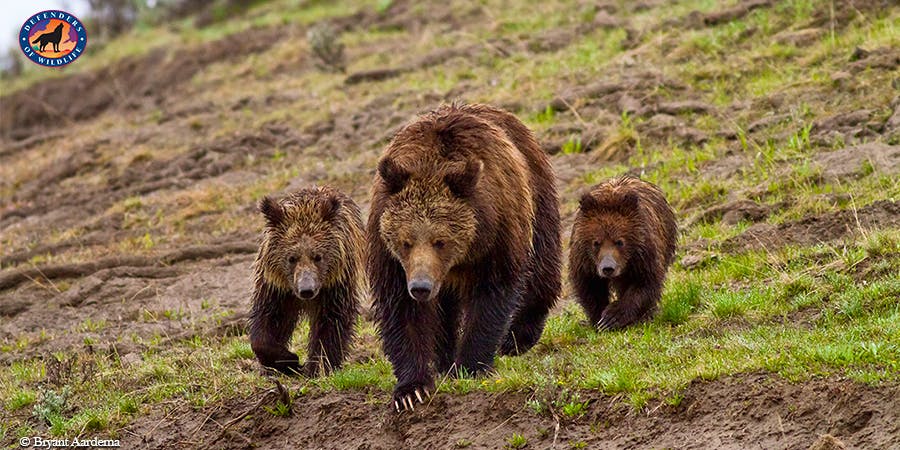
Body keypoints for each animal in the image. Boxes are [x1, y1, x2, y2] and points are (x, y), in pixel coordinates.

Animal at [248, 186, 364, 377]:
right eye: (291, 258)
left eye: (318, 257)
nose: (306, 289)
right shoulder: (276, 288)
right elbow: (267, 322)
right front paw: (289, 360)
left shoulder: (334, 287)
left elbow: (332, 323)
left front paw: (319, 367)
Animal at [367, 103, 562, 412]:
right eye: (406, 241)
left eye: (440, 241)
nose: (420, 287)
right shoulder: (389, 254)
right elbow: (402, 310)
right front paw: (411, 389)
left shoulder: (498, 230)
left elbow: (492, 295)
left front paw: (470, 366)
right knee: (445, 312)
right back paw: (444, 358)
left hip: (537, 194)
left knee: (542, 264)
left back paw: (518, 337)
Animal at [568, 175, 677, 330]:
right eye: (596, 242)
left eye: (619, 241)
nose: (608, 268)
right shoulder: (584, 260)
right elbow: (590, 287)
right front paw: (598, 319)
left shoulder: (644, 254)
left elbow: (645, 283)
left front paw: (612, 317)